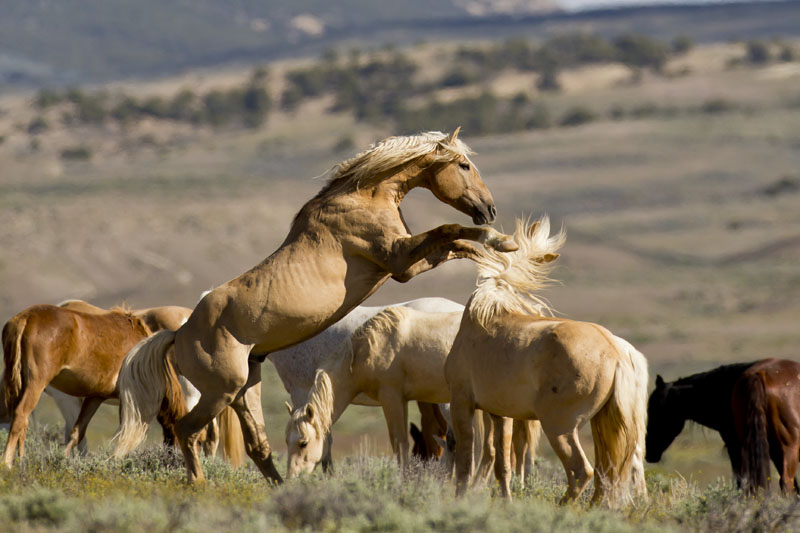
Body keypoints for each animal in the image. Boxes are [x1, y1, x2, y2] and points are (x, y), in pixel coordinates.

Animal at [111, 129, 517, 485]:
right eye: (464, 165)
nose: (489, 209)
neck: (365, 196)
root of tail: (178, 333)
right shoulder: (398, 260)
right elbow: (449, 231)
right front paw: (501, 242)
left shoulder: (404, 264)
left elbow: (455, 243)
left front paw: (503, 252)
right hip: (220, 392)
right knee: (188, 431)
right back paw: (198, 483)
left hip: (246, 389)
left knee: (258, 446)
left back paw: (282, 489)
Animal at [444, 217, 649, 506]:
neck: (487, 312)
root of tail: (616, 352)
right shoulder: (499, 413)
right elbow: (502, 464)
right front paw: (506, 502)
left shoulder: (461, 401)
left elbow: (464, 462)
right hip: (601, 424)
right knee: (604, 475)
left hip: (559, 427)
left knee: (581, 471)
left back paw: (561, 507)